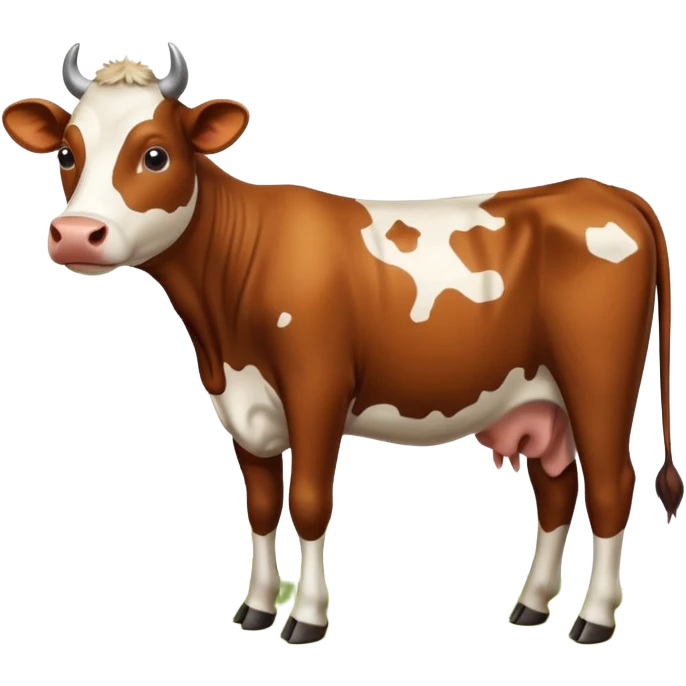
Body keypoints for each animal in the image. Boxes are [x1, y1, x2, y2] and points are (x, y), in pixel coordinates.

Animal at [3, 42, 682, 647]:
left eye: (155, 155)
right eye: (66, 152)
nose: (74, 235)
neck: (223, 330)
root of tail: (605, 191)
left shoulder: (317, 389)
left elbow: (306, 503)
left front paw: (305, 619)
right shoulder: (242, 405)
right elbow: (260, 505)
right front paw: (255, 610)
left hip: (598, 382)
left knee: (611, 487)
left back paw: (593, 620)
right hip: (542, 403)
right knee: (557, 490)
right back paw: (534, 607)